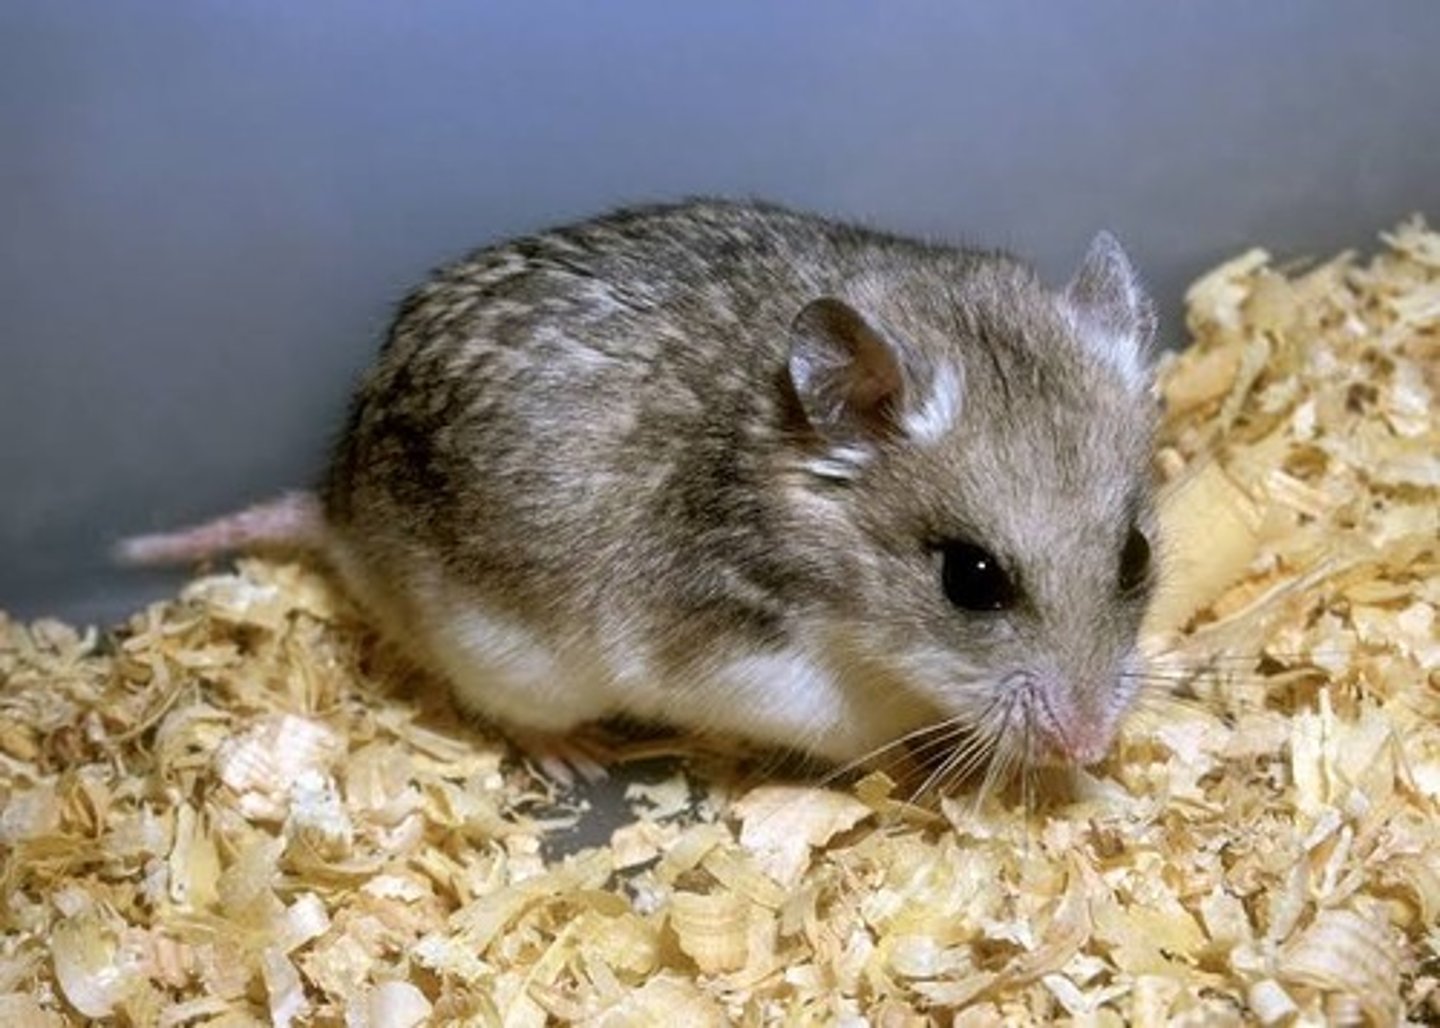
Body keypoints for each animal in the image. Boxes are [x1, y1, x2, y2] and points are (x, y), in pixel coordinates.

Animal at [120, 199, 1160, 774]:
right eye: (970, 580)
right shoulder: (754, 669)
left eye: (1138, 555)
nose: (1090, 746)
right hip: (500, 658)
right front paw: (917, 764)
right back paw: (579, 758)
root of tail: (333, 506)